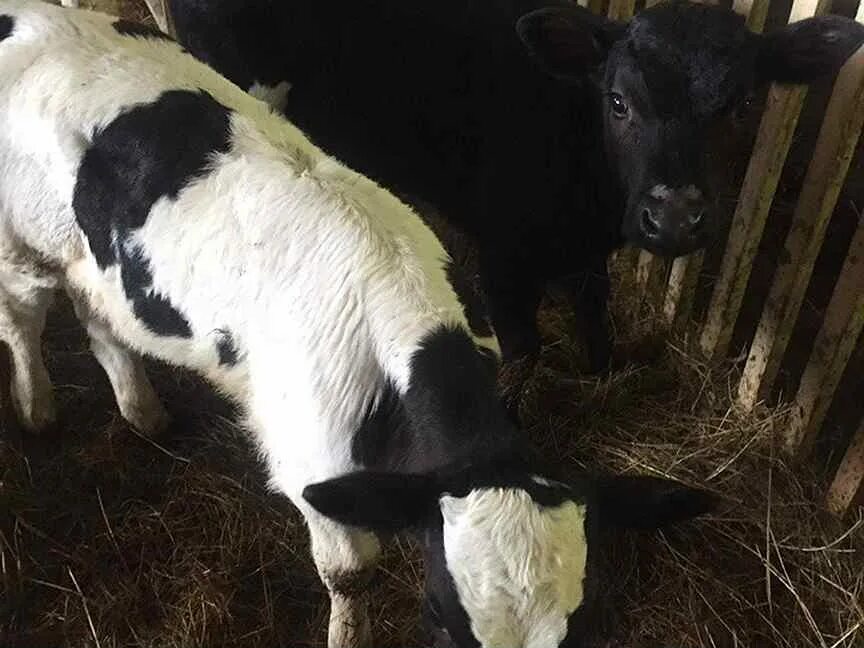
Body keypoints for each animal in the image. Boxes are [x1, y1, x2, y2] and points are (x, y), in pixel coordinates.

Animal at [0, 2, 716, 644]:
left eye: (585, 624)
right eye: (438, 617)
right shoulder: (311, 467)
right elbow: (349, 574)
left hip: (89, 255)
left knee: (98, 317)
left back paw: (141, 409)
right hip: (20, 247)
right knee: (25, 316)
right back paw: (37, 410)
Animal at [169, 0, 864, 370]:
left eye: (744, 104)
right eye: (618, 102)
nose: (672, 218)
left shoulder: (586, 254)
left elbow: (594, 307)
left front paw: (603, 368)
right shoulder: (503, 259)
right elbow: (523, 349)